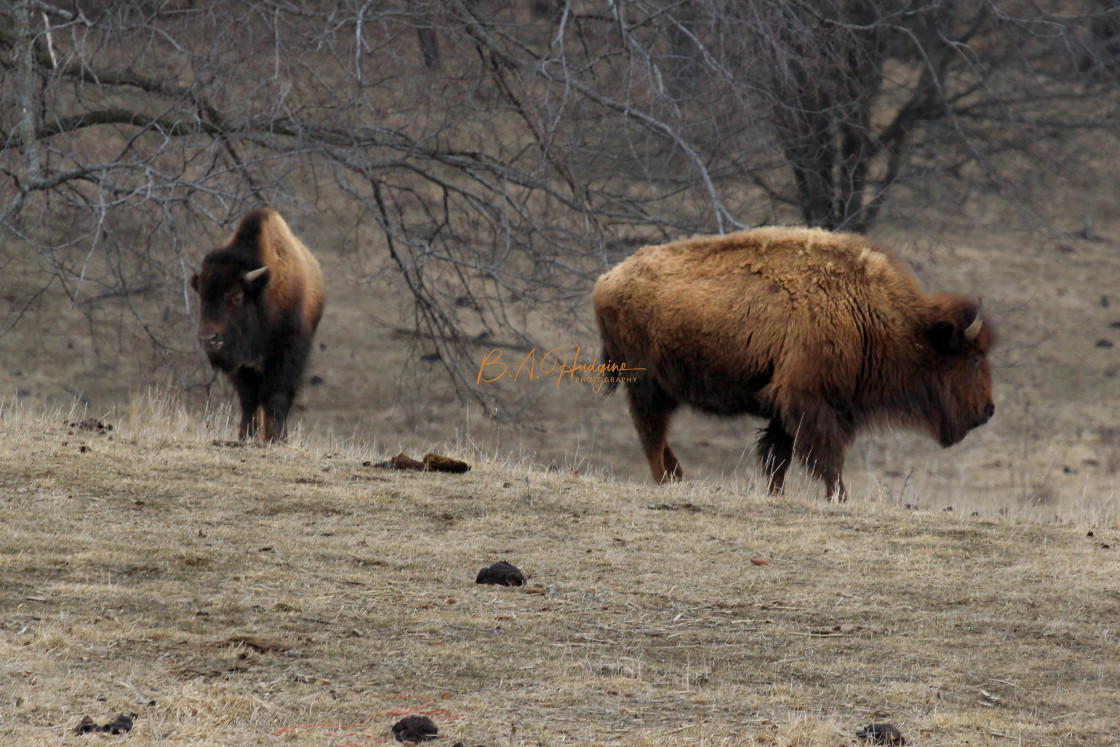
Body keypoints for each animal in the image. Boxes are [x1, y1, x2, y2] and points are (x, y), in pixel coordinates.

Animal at [190, 209, 324, 443]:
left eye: (237, 297)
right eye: (202, 296)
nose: (209, 338)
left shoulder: (287, 354)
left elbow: (277, 396)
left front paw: (276, 438)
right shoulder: (243, 365)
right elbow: (249, 399)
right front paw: (246, 435)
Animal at [595, 225, 999, 499]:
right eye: (975, 357)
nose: (989, 410)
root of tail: (606, 280)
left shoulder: (785, 406)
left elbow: (779, 457)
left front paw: (776, 495)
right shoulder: (810, 403)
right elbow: (826, 458)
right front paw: (839, 498)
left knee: (657, 436)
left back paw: (677, 477)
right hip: (646, 385)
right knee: (651, 433)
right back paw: (665, 480)